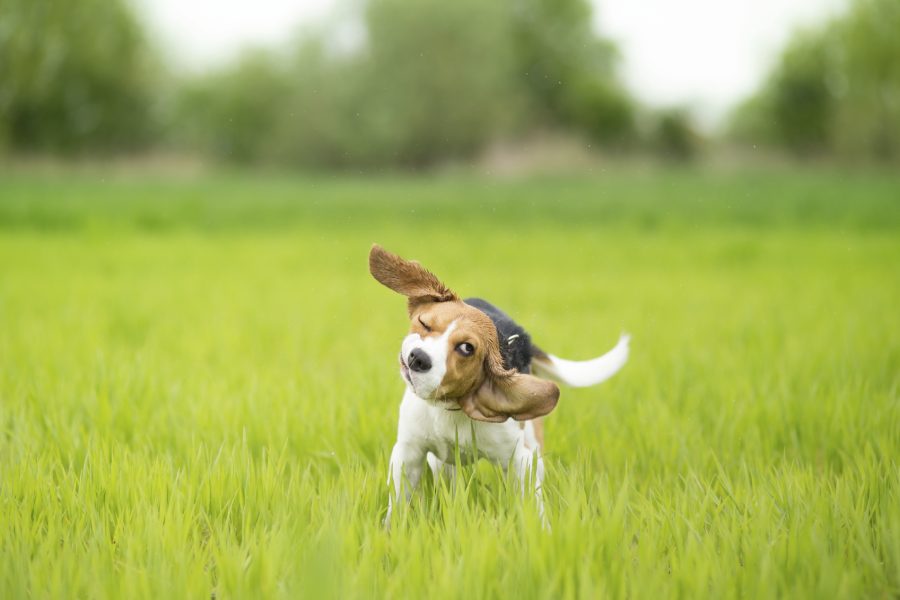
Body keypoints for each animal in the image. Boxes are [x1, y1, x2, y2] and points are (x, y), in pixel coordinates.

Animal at [370, 244, 628, 524]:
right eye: (424, 323)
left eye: (466, 348)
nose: (418, 358)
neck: (450, 407)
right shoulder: (409, 453)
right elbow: (398, 502)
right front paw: (392, 529)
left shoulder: (521, 460)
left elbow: (531, 505)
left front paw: (540, 530)